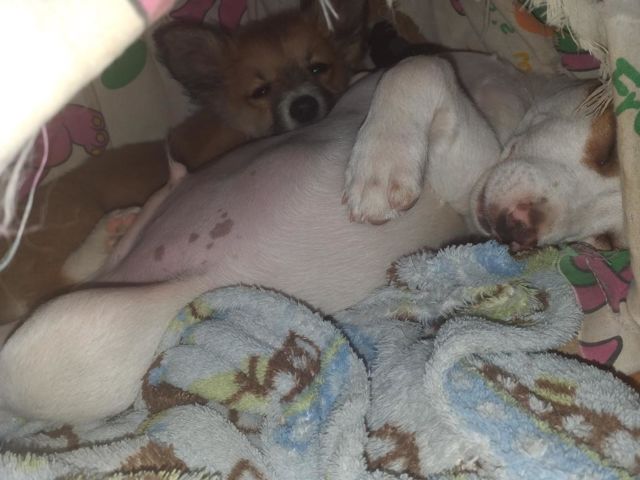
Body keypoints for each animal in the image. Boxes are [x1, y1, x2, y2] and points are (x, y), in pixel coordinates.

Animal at [0, 53, 623, 424]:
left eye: (604, 242)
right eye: (612, 148)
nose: (518, 235)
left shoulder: (466, 179)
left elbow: (421, 68)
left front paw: (379, 172)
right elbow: (410, 67)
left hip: (76, 325)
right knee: (84, 264)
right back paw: (123, 221)